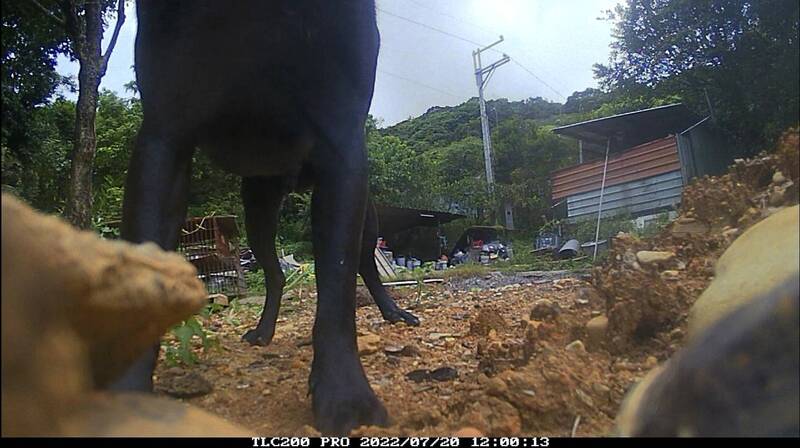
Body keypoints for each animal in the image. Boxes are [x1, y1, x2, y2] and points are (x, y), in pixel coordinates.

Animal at [112, 0, 400, 434]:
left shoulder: (342, 142)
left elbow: (336, 291)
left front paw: (345, 395)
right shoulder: (164, 138)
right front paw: (127, 395)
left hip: (365, 220)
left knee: (365, 265)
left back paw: (395, 312)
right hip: (258, 211)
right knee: (276, 274)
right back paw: (264, 332)